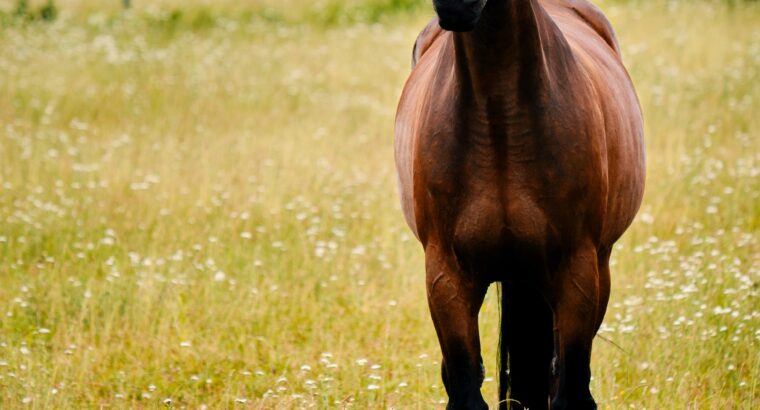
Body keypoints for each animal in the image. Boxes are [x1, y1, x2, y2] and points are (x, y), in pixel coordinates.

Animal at [394, 0, 644, 410]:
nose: (456, 7)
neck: (499, 112)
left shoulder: (576, 273)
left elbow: (570, 391)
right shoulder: (446, 277)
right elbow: (465, 389)